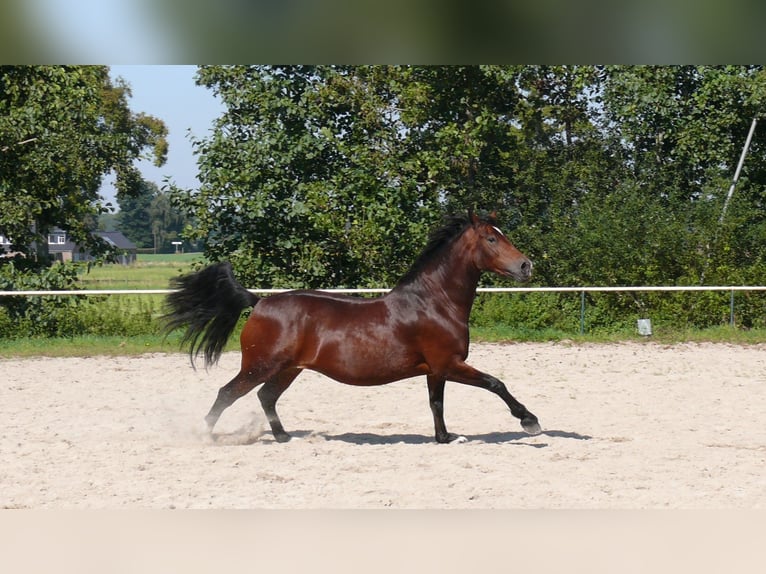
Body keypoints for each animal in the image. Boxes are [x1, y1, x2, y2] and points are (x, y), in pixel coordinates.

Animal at [165, 214, 544, 444]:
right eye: (491, 239)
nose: (526, 266)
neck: (434, 303)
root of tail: (258, 302)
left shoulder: (435, 370)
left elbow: (436, 404)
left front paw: (445, 437)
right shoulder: (449, 364)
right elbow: (496, 383)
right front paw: (530, 420)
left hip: (288, 369)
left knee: (265, 396)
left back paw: (284, 437)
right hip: (260, 365)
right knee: (227, 393)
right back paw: (204, 437)